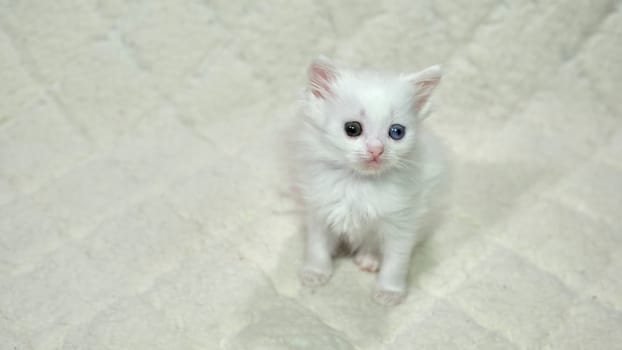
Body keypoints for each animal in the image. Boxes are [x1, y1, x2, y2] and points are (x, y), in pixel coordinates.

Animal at [294, 56, 446, 304]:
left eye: (397, 132)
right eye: (352, 128)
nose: (377, 150)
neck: (359, 183)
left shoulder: (402, 222)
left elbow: (396, 261)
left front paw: (389, 292)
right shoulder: (320, 209)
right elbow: (317, 245)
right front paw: (315, 272)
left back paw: (370, 258)